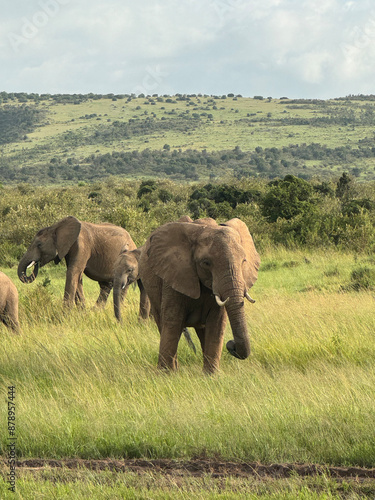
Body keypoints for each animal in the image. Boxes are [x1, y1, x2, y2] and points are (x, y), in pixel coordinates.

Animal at [139, 217, 262, 374]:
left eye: (244, 261)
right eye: (206, 263)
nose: (231, 345)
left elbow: (216, 324)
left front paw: (211, 375)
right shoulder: (174, 276)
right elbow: (173, 322)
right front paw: (166, 374)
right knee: (163, 323)